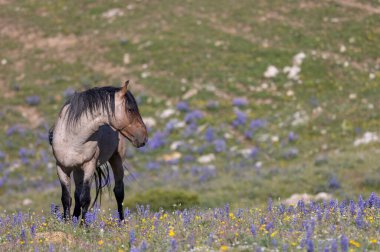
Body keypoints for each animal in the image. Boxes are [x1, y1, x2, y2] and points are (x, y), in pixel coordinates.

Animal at [49, 80, 147, 220]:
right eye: (130, 109)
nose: (144, 137)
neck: (73, 137)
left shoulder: (89, 166)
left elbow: (85, 199)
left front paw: (83, 224)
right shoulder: (62, 168)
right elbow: (67, 199)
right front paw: (67, 222)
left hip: (116, 161)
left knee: (119, 192)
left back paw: (121, 221)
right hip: (77, 170)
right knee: (77, 195)